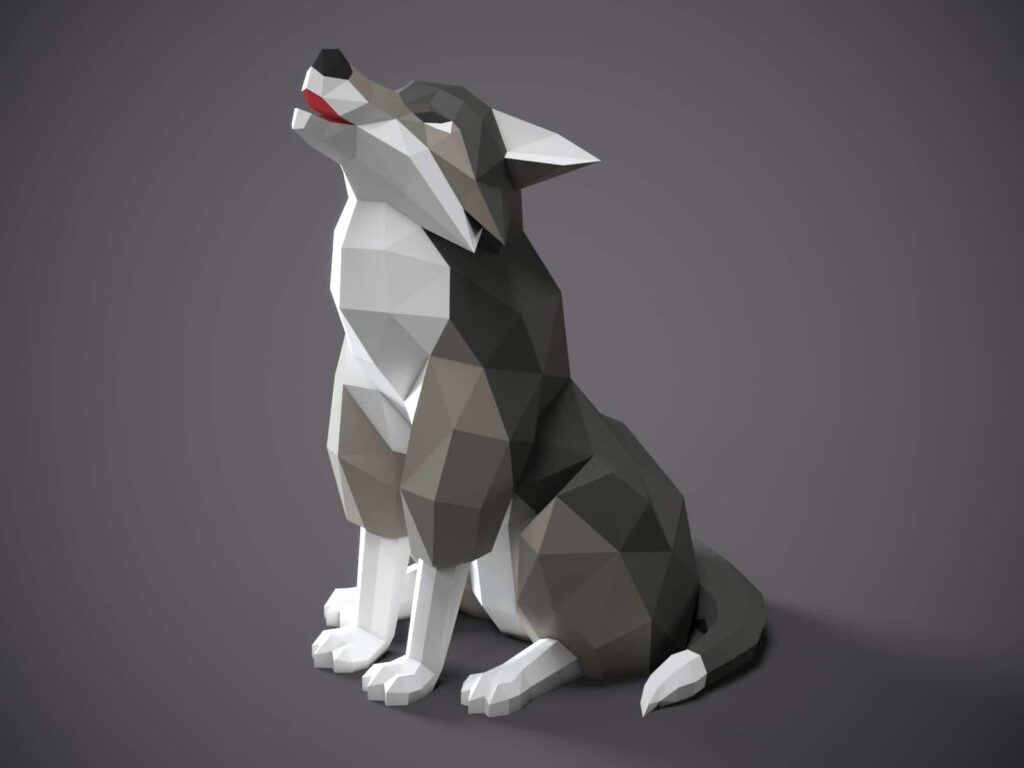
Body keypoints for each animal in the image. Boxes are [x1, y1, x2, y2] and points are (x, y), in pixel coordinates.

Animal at [292, 49, 765, 717]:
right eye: (402, 86)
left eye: (433, 119)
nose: (331, 58)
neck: (393, 305)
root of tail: (692, 566)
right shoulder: (368, 431)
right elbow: (381, 544)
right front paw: (365, 635)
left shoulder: (466, 443)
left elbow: (437, 552)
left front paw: (411, 672)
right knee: (488, 607)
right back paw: (356, 601)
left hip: (564, 522)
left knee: (582, 650)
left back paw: (506, 679)